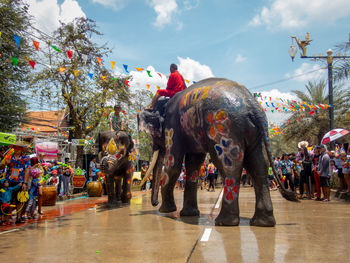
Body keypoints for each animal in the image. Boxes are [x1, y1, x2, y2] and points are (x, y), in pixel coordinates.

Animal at [138, 77, 296, 228]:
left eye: (153, 134)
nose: (155, 203)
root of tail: (253, 106)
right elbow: (193, 165)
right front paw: (188, 214)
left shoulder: (172, 127)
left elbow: (173, 165)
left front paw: (165, 210)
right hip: (256, 135)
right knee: (259, 166)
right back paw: (261, 223)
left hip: (223, 128)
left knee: (229, 166)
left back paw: (224, 222)